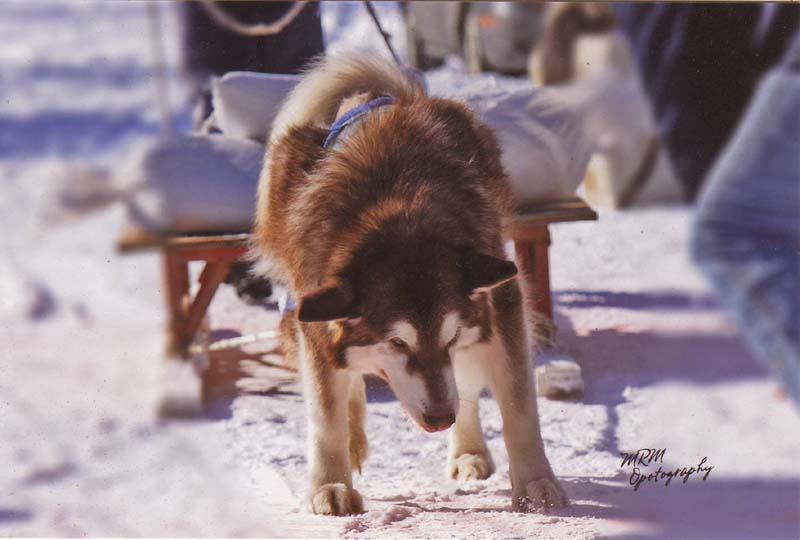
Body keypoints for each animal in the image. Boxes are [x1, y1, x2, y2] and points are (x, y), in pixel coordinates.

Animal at [253, 53, 564, 516]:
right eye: (397, 343)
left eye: (448, 337)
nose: (440, 418)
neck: (399, 215)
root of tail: (383, 99)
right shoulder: (312, 313)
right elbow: (326, 413)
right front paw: (331, 483)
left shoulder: (497, 307)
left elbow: (518, 403)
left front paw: (534, 480)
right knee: (346, 382)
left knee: (464, 387)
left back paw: (468, 450)